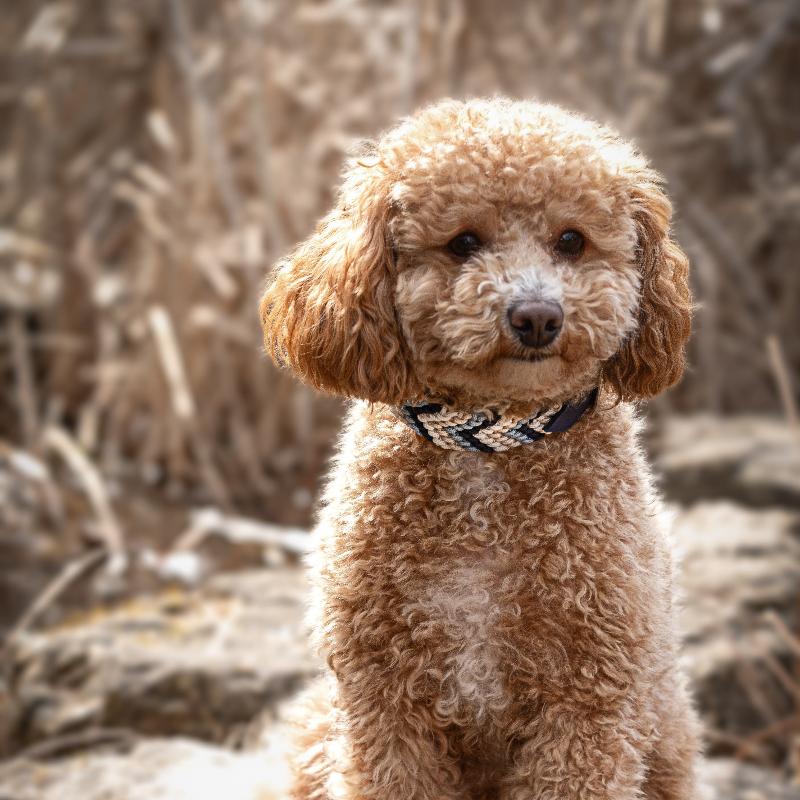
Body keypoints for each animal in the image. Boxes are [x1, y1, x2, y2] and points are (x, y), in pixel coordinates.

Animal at [260, 98, 704, 800]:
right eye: (463, 242)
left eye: (571, 240)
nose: (537, 315)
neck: (487, 447)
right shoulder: (385, 708)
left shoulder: (589, 706)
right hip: (314, 734)